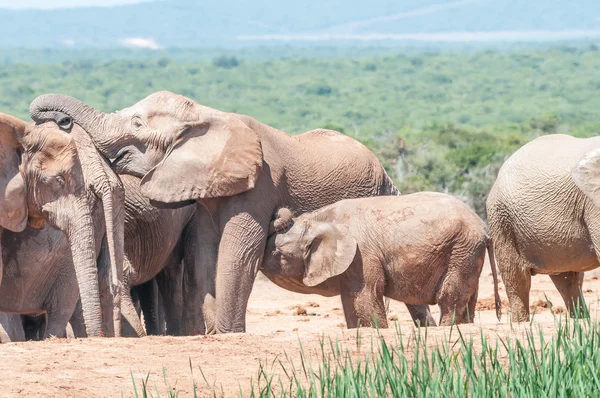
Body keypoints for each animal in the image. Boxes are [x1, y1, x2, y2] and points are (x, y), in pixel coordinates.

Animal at [28, 91, 434, 332]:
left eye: (137, 124)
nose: (59, 121)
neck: (208, 116)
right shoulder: (206, 193)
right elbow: (206, 258)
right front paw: (213, 333)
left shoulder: (260, 185)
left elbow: (237, 255)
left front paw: (226, 333)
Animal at [262, 193, 502, 326]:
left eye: (278, 254)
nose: (279, 211)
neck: (320, 218)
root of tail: (484, 229)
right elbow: (351, 305)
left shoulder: (362, 256)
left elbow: (365, 299)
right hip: (468, 253)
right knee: (468, 302)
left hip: (461, 249)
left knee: (450, 298)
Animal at [490, 135, 600, 322]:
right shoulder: (592, 204)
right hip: (502, 218)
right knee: (518, 279)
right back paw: (520, 323)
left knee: (568, 280)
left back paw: (580, 320)